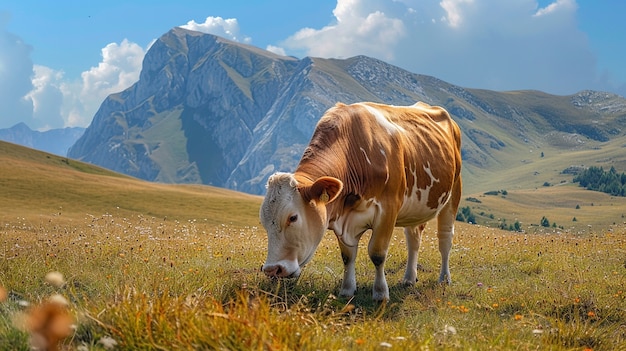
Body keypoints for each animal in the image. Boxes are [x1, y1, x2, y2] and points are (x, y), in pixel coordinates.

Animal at [258, 100, 458, 302]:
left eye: (293, 218)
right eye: (263, 222)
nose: (272, 269)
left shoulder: (388, 210)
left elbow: (377, 254)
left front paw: (380, 294)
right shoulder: (344, 216)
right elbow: (347, 256)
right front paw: (347, 290)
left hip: (453, 194)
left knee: (445, 239)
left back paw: (444, 278)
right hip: (416, 209)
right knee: (413, 239)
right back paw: (409, 278)